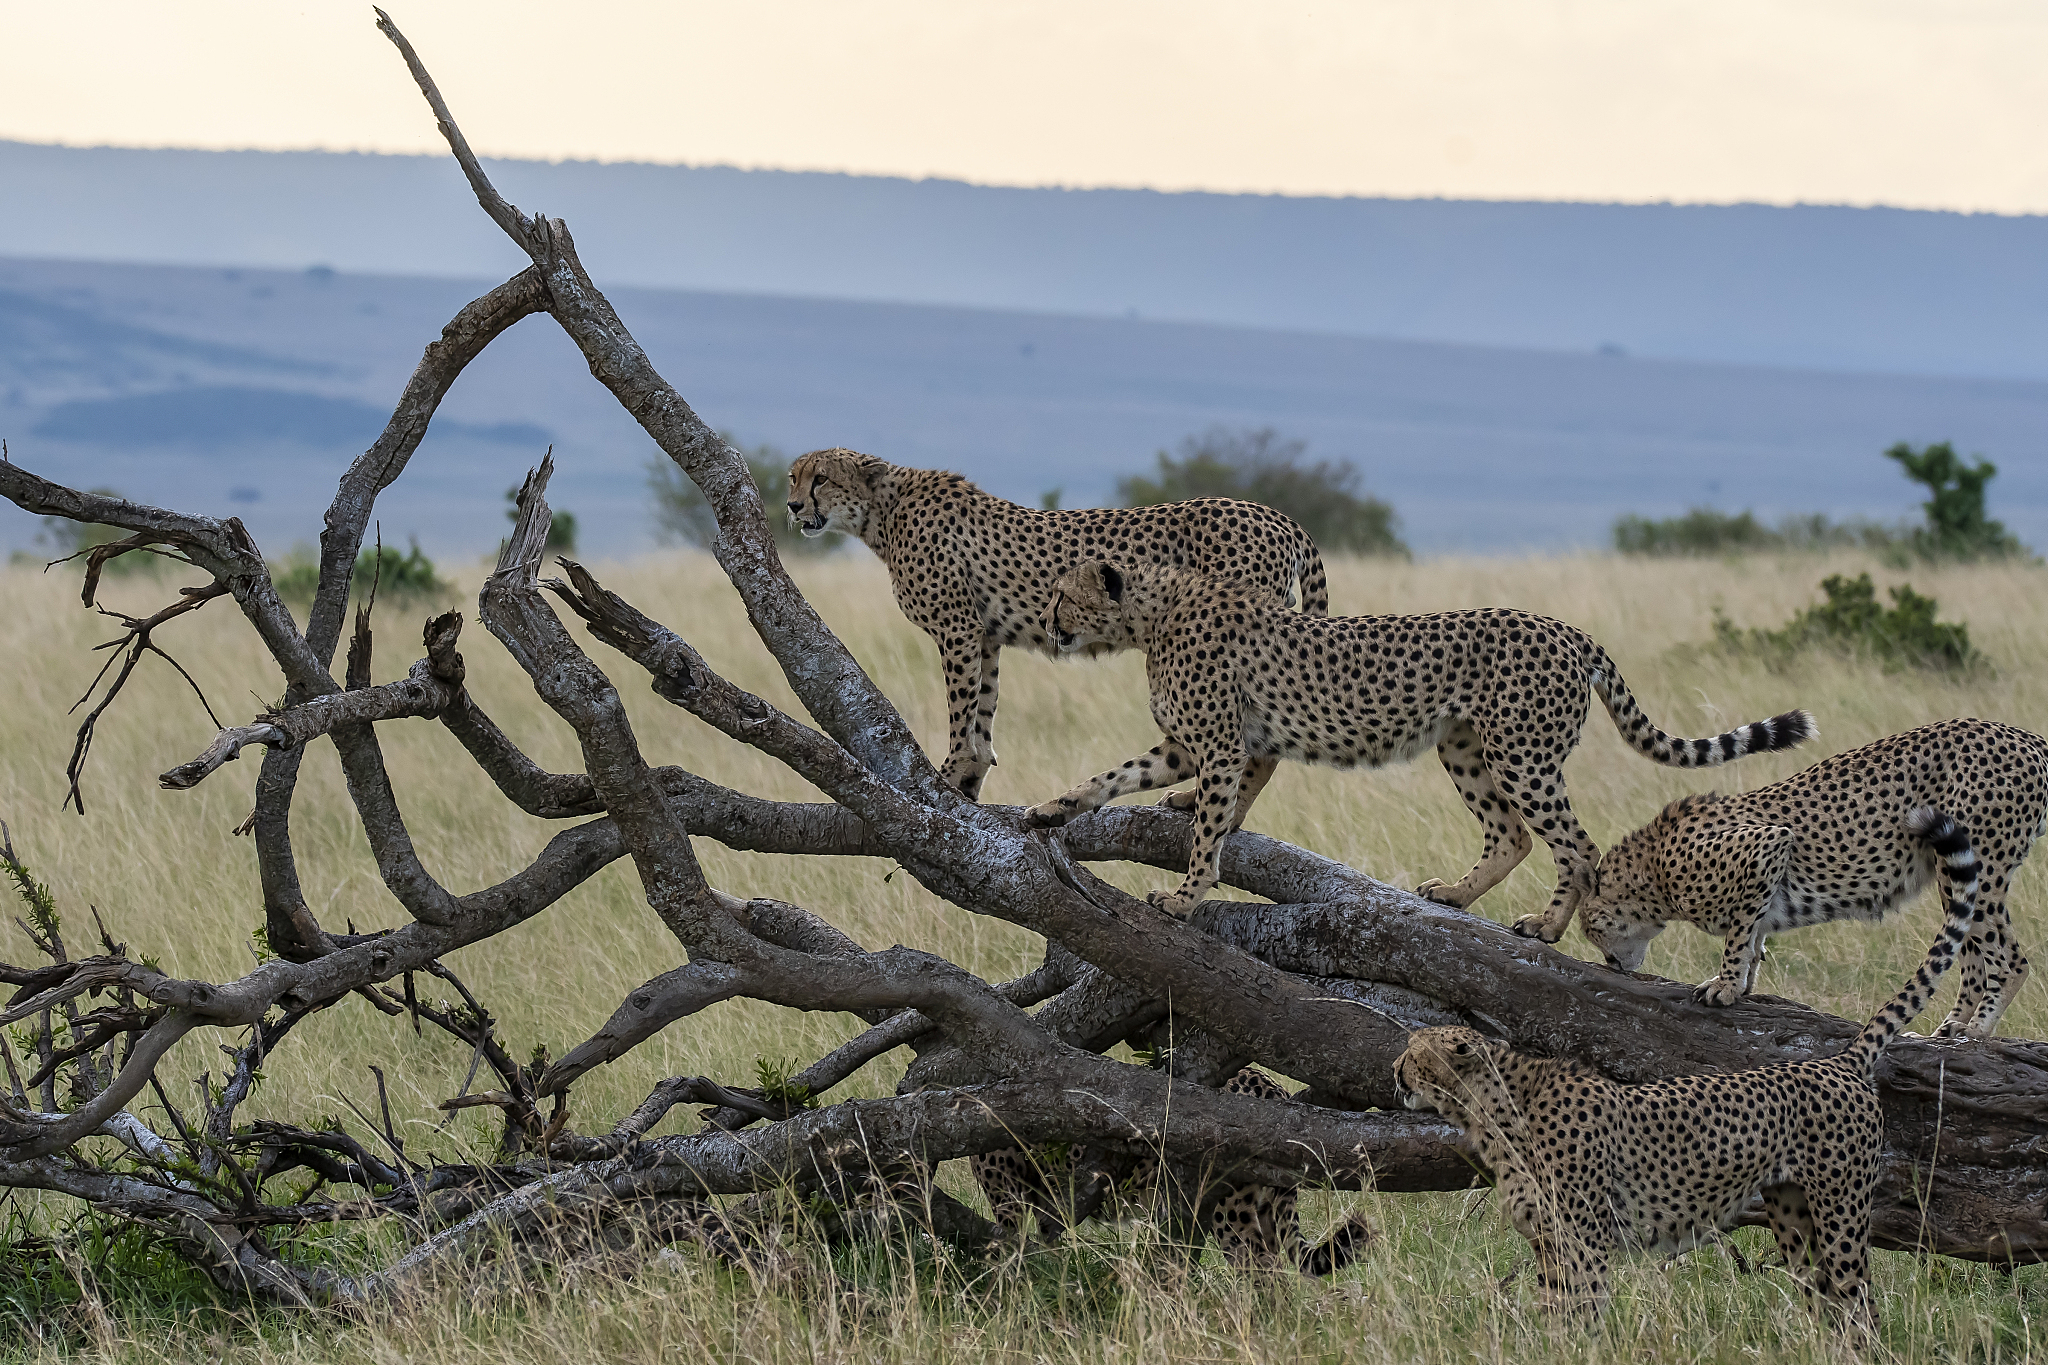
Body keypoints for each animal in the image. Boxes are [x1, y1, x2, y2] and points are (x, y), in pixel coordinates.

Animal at [784, 448, 1326, 801]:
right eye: (793, 477)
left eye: (821, 479)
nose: (792, 506)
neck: (884, 511)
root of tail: (1275, 515)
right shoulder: (985, 635)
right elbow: (983, 706)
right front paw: (972, 772)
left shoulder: (957, 628)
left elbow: (960, 708)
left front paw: (951, 768)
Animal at [968, 1067, 1376, 1274]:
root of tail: (1270, 1084)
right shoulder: (1046, 1209)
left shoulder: (1011, 1203)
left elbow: (1005, 1253)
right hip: (1266, 1209)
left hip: (1230, 1212)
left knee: (1259, 1274)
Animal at [1023, 560, 1814, 921]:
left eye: (1064, 594)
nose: (1050, 622)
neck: (1151, 614)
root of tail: (1568, 628)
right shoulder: (1190, 747)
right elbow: (1112, 775)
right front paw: (1049, 808)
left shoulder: (1217, 747)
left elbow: (1208, 829)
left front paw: (1186, 896)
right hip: (1464, 748)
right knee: (1512, 836)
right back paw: (1457, 894)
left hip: (1524, 756)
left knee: (1579, 847)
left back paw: (1547, 928)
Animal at [1392, 806, 1981, 1333]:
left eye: (1418, 1050)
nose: (1395, 1068)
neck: (1492, 1111)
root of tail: (1836, 1061)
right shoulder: (1551, 1244)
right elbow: (1554, 1314)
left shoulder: (1584, 1242)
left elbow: (1579, 1317)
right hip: (1794, 1215)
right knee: (1826, 1302)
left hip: (1841, 1212)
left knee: (1859, 1303)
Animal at [1578, 717, 2045, 1035]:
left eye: (1592, 929)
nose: (1611, 963)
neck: (1654, 869)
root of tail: (2022, 735)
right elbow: (1753, 934)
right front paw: (1740, 984)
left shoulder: (1768, 845)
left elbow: (1738, 934)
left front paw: (1725, 987)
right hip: (1953, 872)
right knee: (1973, 960)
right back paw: (1946, 1032)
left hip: (1979, 867)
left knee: (2012, 961)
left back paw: (1974, 1033)